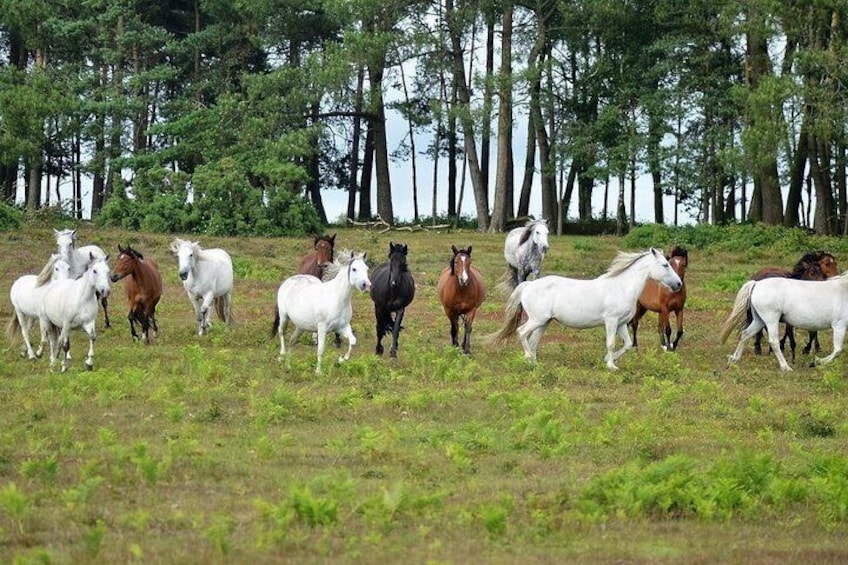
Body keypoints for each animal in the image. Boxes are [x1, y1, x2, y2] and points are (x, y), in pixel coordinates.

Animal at [490, 248, 684, 370]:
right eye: (665, 265)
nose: (678, 284)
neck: (621, 287)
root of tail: (528, 285)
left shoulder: (621, 323)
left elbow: (628, 344)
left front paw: (609, 360)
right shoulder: (611, 321)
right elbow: (611, 343)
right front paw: (611, 366)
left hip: (544, 323)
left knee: (533, 341)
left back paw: (534, 363)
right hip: (537, 320)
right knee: (522, 333)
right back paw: (528, 358)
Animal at [720, 274, 848, 370]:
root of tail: (757, 284)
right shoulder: (839, 326)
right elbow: (837, 350)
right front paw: (816, 362)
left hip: (759, 320)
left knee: (745, 334)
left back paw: (735, 358)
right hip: (771, 319)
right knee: (774, 342)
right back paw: (785, 367)